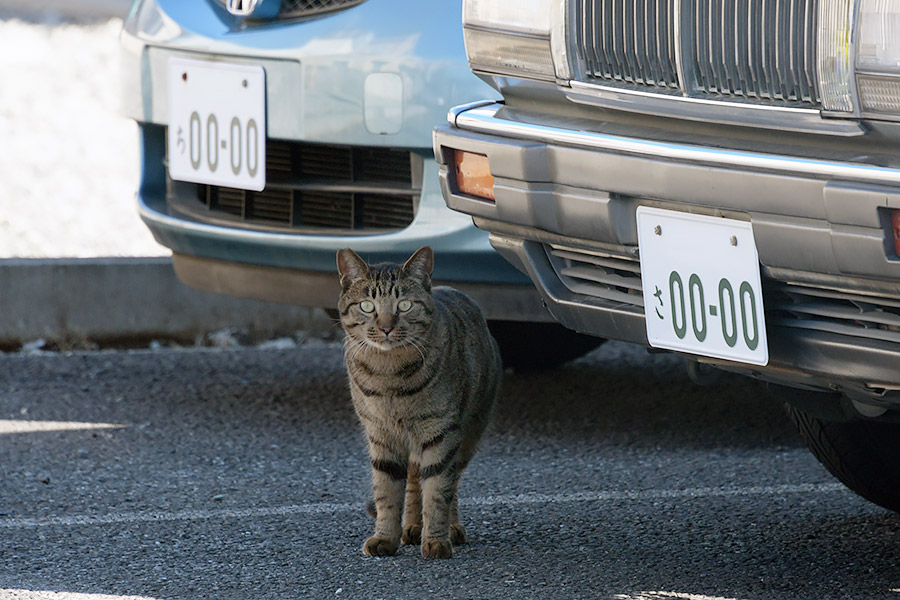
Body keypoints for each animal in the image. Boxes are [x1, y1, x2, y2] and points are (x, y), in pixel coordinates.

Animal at [338, 246, 502, 560]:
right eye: (367, 306)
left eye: (403, 305)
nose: (386, 327)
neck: (388, 373)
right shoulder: (380, 435)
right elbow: (387, 492)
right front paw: (385, 537)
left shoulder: (442, 433)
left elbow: (438, 490)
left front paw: (437, 540)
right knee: (414, 479)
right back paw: (411, 527)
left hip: (469, 433)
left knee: (450, 481)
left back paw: (449, 527)